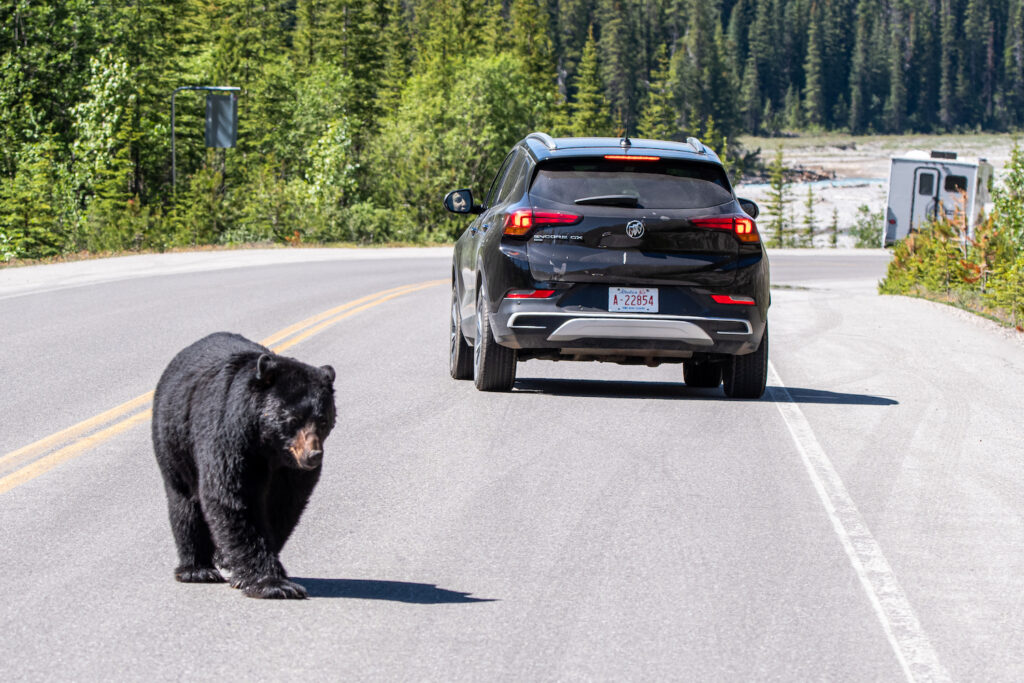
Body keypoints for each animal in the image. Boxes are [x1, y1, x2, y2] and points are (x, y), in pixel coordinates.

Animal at [151, 333, 335, 602]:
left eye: (323, 420)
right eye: (292, 419)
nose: (313, 455)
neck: (268, 447)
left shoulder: (290, 471)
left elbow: (283, 505)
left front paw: (240, 565)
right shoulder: (230, 439)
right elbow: (233, 497)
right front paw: (273, 584)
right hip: (175, 445)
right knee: (185, 505)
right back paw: (197, 569)